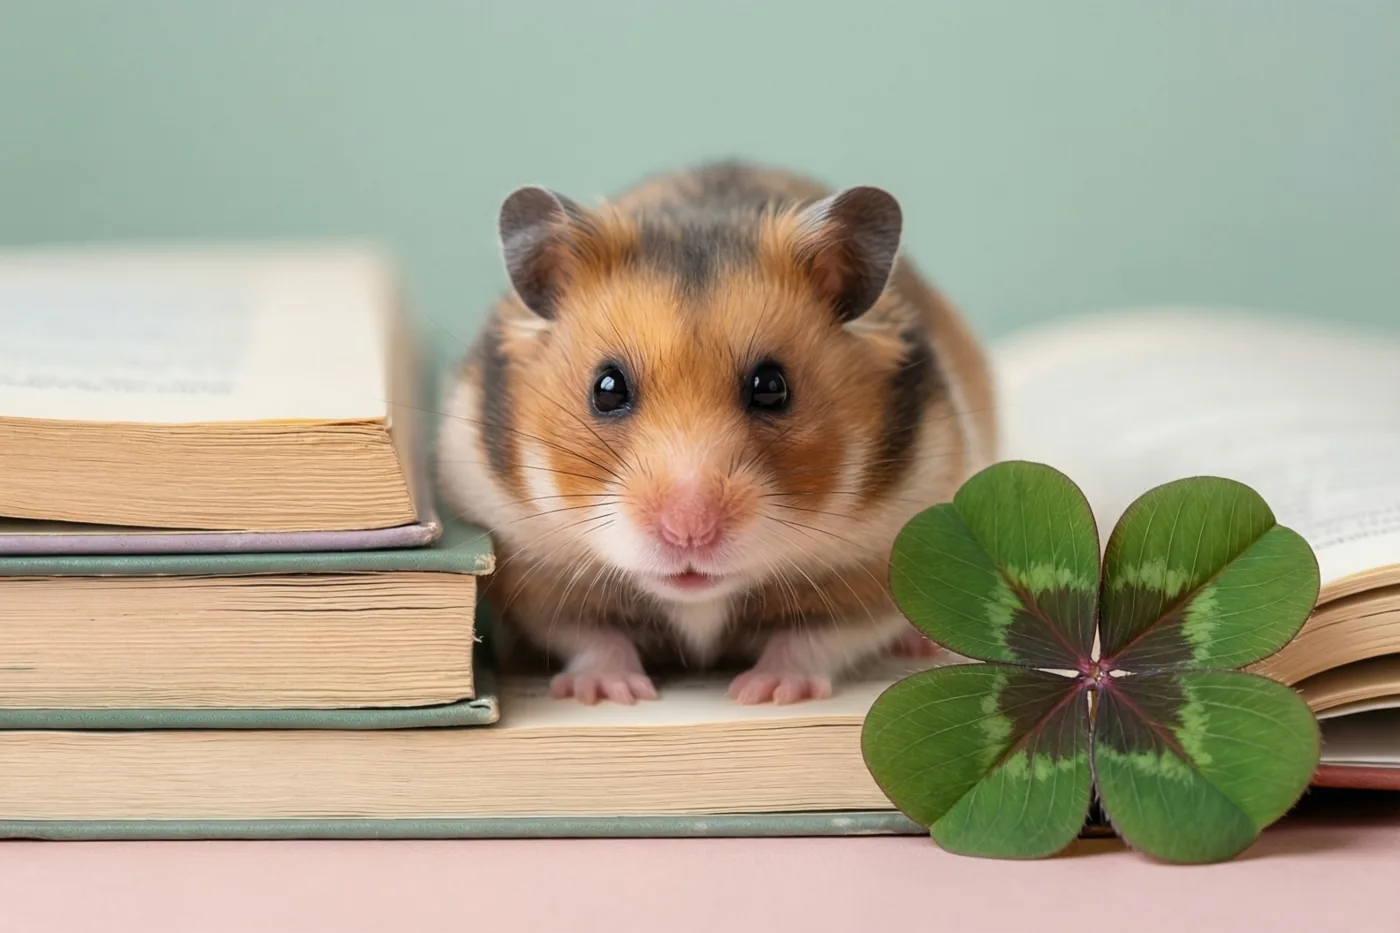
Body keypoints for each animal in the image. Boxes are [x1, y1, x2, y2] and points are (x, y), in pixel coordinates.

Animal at [437, 160, 997, 705]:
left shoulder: (876, 570)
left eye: (772, 387)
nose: (689, 532)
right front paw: (609, 694)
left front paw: (765, 693)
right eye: (607, 388)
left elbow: (815, 638)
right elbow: (592, 636)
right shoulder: (534, 572)